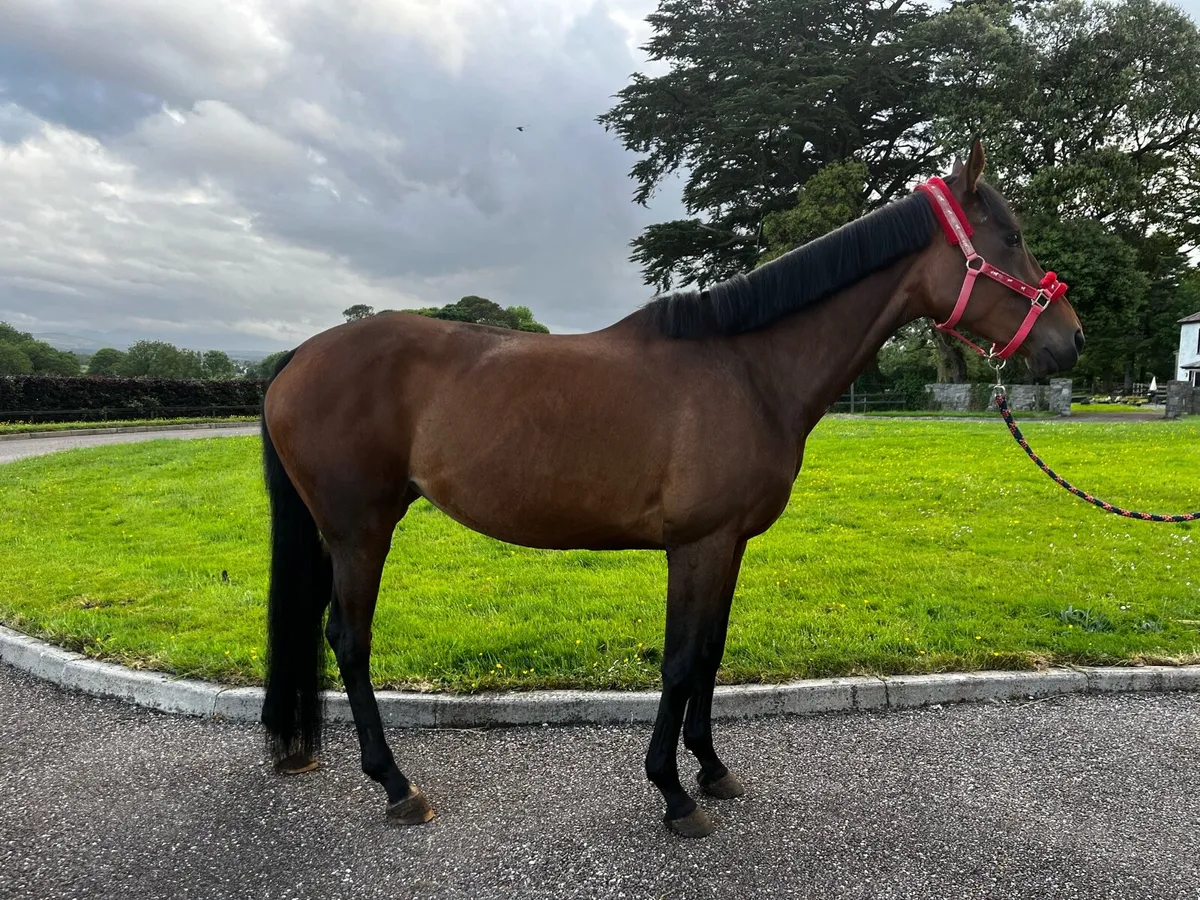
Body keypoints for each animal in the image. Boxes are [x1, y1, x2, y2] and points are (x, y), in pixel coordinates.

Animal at [258, 140, 1083, 838]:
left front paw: (712, 769)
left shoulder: (729, 546)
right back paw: (398, 786)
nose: (1069, 339)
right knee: (349, 639)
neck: (748, 369)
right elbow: (681, 661)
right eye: (1010, 237)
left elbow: (711, 654)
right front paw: (674, 793)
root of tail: (297, 357)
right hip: (359, 530)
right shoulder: (697, 545)